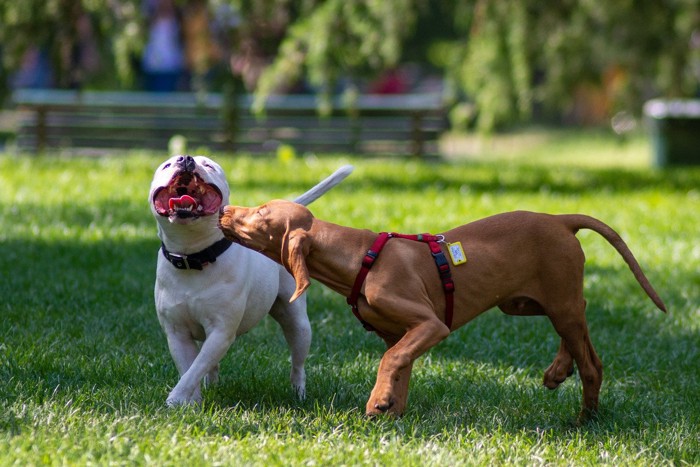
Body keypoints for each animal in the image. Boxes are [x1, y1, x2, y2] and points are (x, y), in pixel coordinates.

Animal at [150, 157, 352, 406]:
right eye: (166, 165)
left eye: (208, 165)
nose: (185, 159)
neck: (194, 256)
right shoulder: (177, 334)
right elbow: (189, 368)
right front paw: (191, 403)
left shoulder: (221, 332)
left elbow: (194, 369)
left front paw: (175, 399)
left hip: (297, 323)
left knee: (298, 362)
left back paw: (299, 393)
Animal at [220, 201, 668, 420]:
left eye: (260, 213)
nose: (223, 211)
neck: (361, 258)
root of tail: (560, 219)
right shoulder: (401, 334)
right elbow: (398, 366)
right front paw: (391, 413)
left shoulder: (431, 325)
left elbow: (389, 361)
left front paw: (377, 403)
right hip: (526, 303)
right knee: (581, 330)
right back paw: (560, 369)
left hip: (557, 300)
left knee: (592, 362)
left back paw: (585, 419)